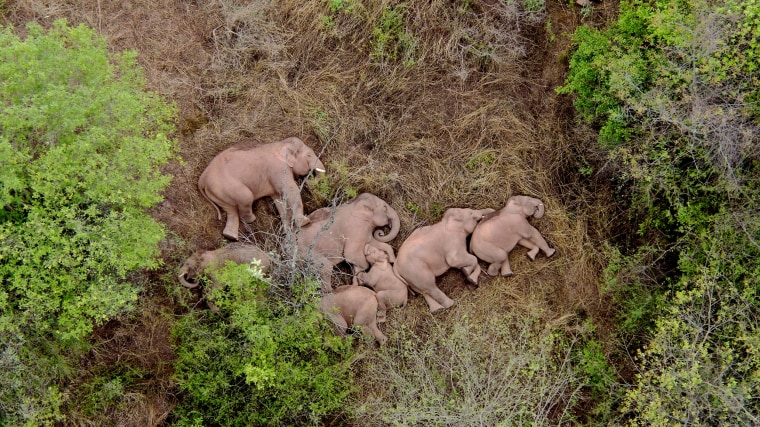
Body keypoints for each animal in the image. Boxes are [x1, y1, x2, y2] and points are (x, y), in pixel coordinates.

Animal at [197, 139, 326, 242]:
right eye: (309, 155)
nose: (308, 180)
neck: (280, 143)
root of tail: (202, 178)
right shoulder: (278, 169)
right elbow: (289, 190)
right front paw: (304, 222)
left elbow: (279, 199)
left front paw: (286, 232)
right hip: (227, 186)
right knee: (246, 197)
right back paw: (251, 220)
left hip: (219, 192)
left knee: (230, 210)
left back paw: (230, 237)